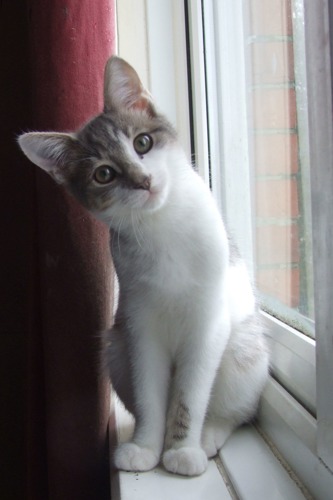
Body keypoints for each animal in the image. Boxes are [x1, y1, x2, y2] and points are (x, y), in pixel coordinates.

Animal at [17, 55, 268, 476]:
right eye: (104, 174)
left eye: (142, 143)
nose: (143, 180)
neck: (161, 224)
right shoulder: (139, 325)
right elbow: (150, 391)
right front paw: (146, 446)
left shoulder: (207, 322)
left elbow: (190, 394)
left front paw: (181, 449)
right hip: (115, 346)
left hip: (244, 350)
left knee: (236, 409)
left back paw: (210, 434)